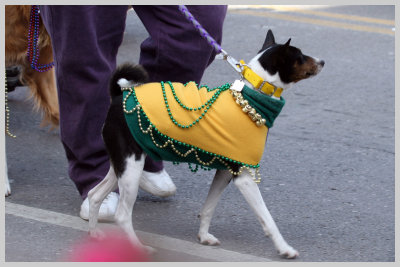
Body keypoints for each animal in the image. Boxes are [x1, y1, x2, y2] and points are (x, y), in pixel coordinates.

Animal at [87, 30, 324, 260]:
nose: (322, 61)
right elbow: (267, 219)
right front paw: (284, 248)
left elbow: (208, 208)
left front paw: (203, 236)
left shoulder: (225, 171)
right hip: (131, 169)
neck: (251, 100)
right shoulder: (244, 178)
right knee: (122, 215)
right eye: (300, 57)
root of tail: (118, 97)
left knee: (95, 194)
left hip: (122, 165)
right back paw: (138, 248)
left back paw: (94, 233)